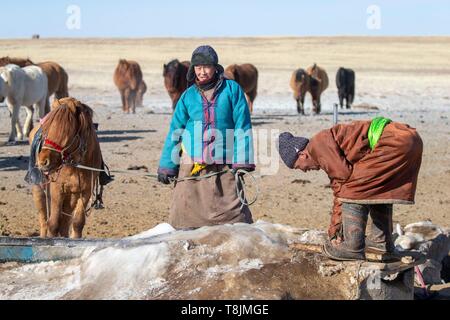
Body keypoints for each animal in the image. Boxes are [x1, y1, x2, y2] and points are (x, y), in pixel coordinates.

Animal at [29, 97, 103, 238]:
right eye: (46, 130)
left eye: (66, 133)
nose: (43, 161)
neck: (74, 166)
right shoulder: (57, 189)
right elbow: (52, 223)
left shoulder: (85, 191)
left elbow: (78, 222)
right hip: (39, 190)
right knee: (43, 220)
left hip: (71, 197)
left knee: (64, 223)